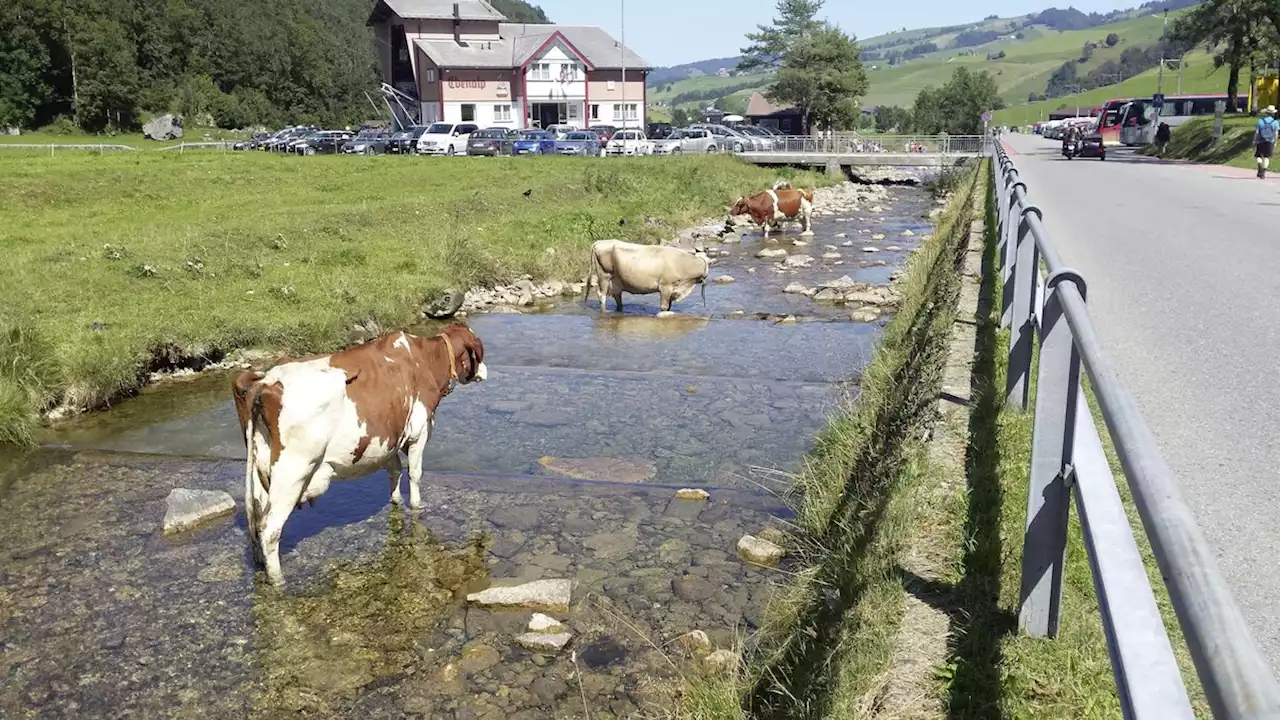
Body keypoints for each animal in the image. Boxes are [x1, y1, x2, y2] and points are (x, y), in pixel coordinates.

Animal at [232, 324, 486, 584]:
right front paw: (417, 506)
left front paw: (396, 500)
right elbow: (414, 475)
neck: (425, 358)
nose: (484, 371)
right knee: (270, 530)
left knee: (257, 521)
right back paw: (278, 579)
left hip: (260, 472)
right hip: (293, 472)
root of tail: (265, 381)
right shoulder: (419, 432)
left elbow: (395, 472)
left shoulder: (389, 440)